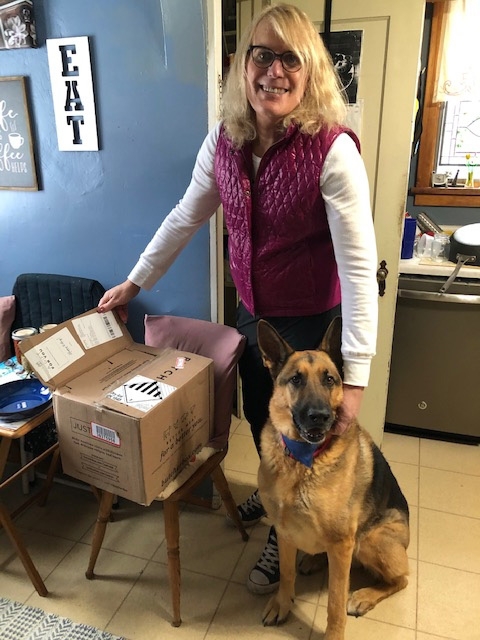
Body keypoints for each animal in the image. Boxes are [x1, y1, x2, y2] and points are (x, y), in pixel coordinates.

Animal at [256, 318, 410, 636]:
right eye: (296, 380)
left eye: (329, 380)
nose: (320, 416)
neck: (302, 461)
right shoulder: (284, 530)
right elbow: (286, 574)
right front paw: (282, 604)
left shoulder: (341, 544)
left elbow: (336, 602)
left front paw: (334, 634)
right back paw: (313, 559)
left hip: (371, 539)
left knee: (401, 578)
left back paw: (365, 596)